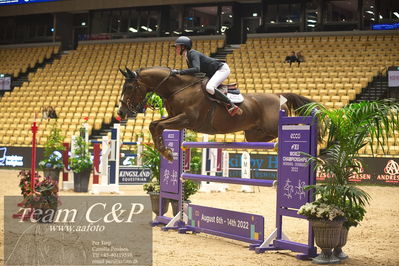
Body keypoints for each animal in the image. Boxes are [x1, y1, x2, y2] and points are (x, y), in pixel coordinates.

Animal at [119, 67, 316, 161]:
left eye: (129, 87)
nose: (121, 112)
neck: (177, 88)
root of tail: (278, 96)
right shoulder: (175, 118)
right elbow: (154, 125)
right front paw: (166, 152)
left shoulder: (186, 119)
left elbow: (158, 125)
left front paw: (166, 152)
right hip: (255, 134)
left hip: (274, 127)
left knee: (296, 127)